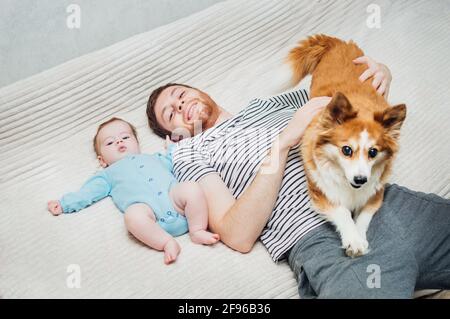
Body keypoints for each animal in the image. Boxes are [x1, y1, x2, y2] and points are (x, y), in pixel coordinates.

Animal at [288, 34, 408, 258]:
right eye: (346, 150)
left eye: (373, 152)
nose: (360, 180)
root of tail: (341, 43)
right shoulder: (320, 191)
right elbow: (342, 211)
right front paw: (352, 239)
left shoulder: (376, 193)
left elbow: (363, 217)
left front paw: (359, 238)